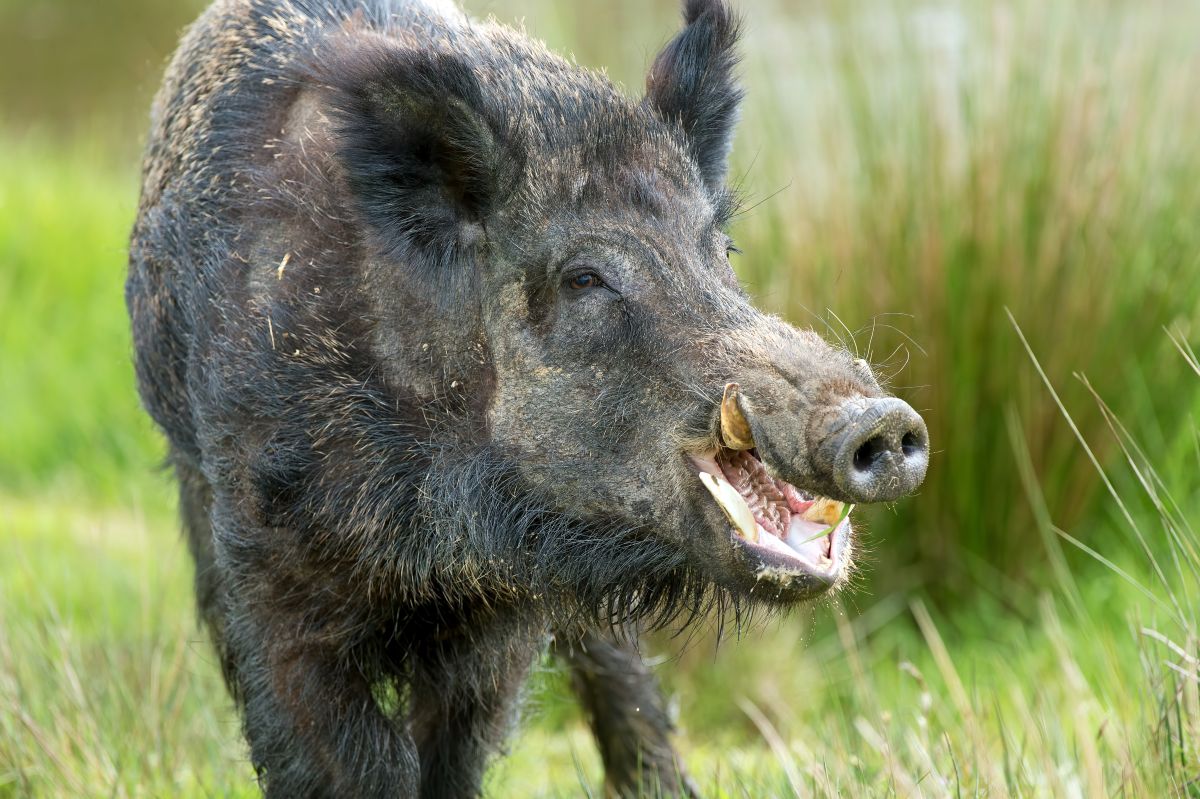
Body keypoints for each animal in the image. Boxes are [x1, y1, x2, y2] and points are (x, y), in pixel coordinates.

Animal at [125, 0, 929, 795]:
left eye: (720, 251)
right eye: (584, 278)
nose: (881, 421)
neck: (426, 535)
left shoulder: (501, 610)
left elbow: (457, 744)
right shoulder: (268, 568)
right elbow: (342, 756)